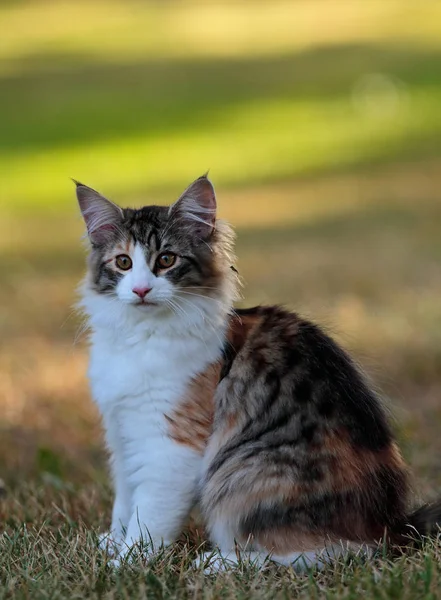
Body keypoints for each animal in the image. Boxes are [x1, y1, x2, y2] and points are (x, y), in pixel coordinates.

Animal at [76, 175, 440, 572]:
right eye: (123, 262)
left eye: (166, 260)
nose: (141, 289)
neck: (139, 336)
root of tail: (394, 524)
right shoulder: (121, 431)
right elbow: (125, 500)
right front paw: (113, 542)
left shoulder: (171, 444)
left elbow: (150, 515)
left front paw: (126, 562)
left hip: (247, 479)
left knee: (331, 551)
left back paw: (217, 562)